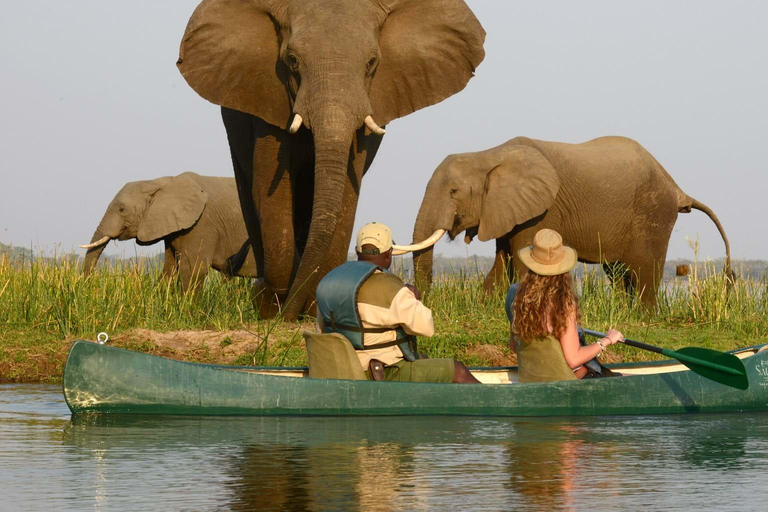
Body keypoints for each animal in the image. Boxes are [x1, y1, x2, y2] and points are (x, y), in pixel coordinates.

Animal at [82, 172, 258, 290]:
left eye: (122, 209)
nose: (89, 286)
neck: (160, 182)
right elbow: (169, 268)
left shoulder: (202, 223)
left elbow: (193, 269)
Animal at [177, 0, 484, 318]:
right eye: (292, 60)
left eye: (372, 62)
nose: (288, 314)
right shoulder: (269, 96)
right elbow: (270, 184)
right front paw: (272, 308)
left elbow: (347, 189)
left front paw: (315, 306)